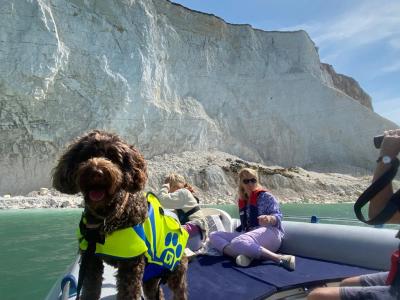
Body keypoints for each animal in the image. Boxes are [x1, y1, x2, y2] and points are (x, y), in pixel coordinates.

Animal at [52, 131, 188, 300]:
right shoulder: (91, 260)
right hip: (150, 278)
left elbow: (128, 293)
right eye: (86, 155)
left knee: (179, 291)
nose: (96, 172)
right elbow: (90, 289)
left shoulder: (131, 265)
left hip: (175, 273)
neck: (108, 217)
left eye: (112, 156)